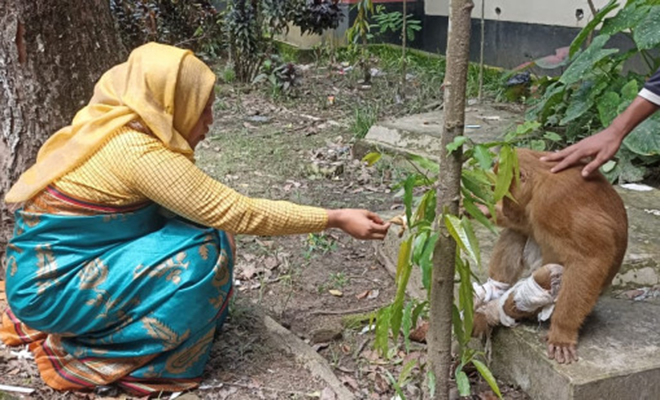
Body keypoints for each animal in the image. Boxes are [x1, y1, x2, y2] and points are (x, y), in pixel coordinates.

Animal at [472, 148, 628, 364]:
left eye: (505, 192)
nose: (505, 207)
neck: (541, 176)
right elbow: (523, 224)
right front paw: (486, 210)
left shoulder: (551, 201)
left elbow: (591, 257)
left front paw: (562, 333)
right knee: (517, 232)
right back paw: (494, 290)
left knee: (549, 276)